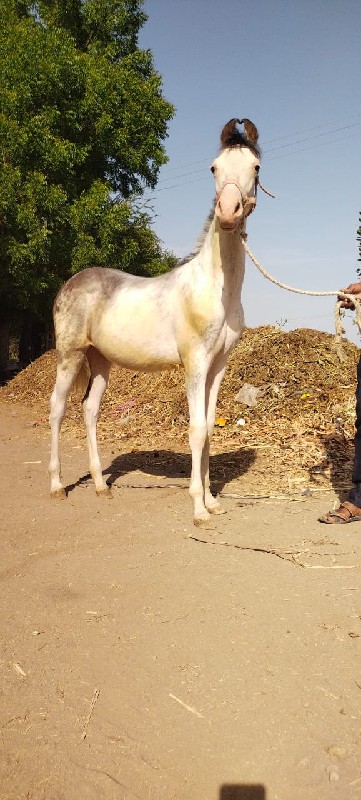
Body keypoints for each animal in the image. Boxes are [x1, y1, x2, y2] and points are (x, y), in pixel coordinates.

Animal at [48, 114, 262, 524]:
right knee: (57, 407)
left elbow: (209, 428)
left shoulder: (218, 366)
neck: (216, 288)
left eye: (256, 167)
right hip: (70, 355)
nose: (228, 212)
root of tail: (70, 283)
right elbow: (196, 429)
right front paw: (198, 508)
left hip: (101, 361)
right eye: (214, 167)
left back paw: (100, 485)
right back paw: (56, 486)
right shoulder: (194, 362)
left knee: (89, 410)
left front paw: (212, 501)